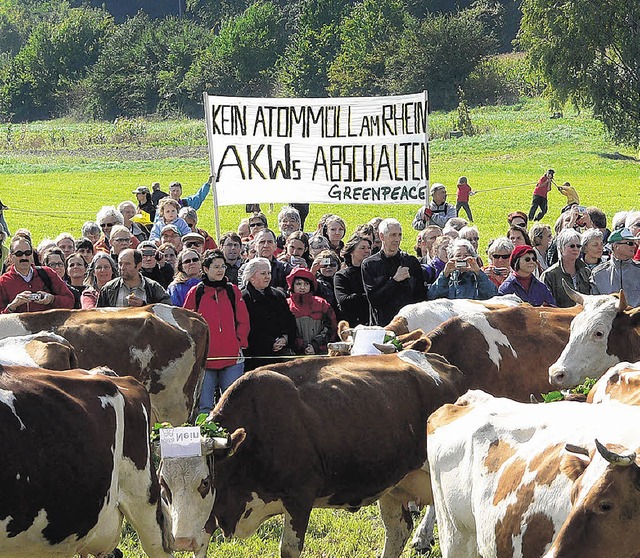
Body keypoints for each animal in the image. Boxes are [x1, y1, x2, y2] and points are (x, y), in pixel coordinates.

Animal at [156, 352, 464, 556]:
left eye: (205, 482)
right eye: (163, 484)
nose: (181, 541)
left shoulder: (299, 497)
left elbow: (289, 548)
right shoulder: (206, 517)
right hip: (394, 485)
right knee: (398, 531)